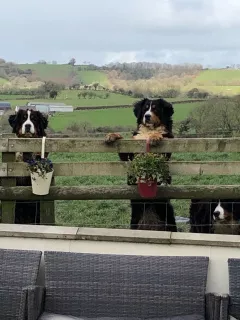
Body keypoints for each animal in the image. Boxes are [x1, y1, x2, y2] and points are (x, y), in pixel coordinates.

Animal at [104, 98, 176, 232]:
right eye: (145, 108)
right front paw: (112, 135)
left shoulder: (167, 149)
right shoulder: (129, 155)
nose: (147, 116)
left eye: (155, 109)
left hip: (168, 217)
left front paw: (155, 136)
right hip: (135, 220)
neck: (149, 130)